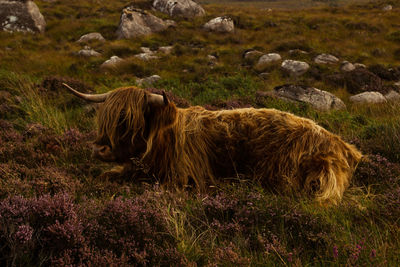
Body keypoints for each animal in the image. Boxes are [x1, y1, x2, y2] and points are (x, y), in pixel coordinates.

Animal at [64, 85, 360, 204]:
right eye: (106, 118)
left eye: (130, 121)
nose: (99, 149)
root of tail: (344, 148)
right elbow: (106, 175)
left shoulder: (184, 178)